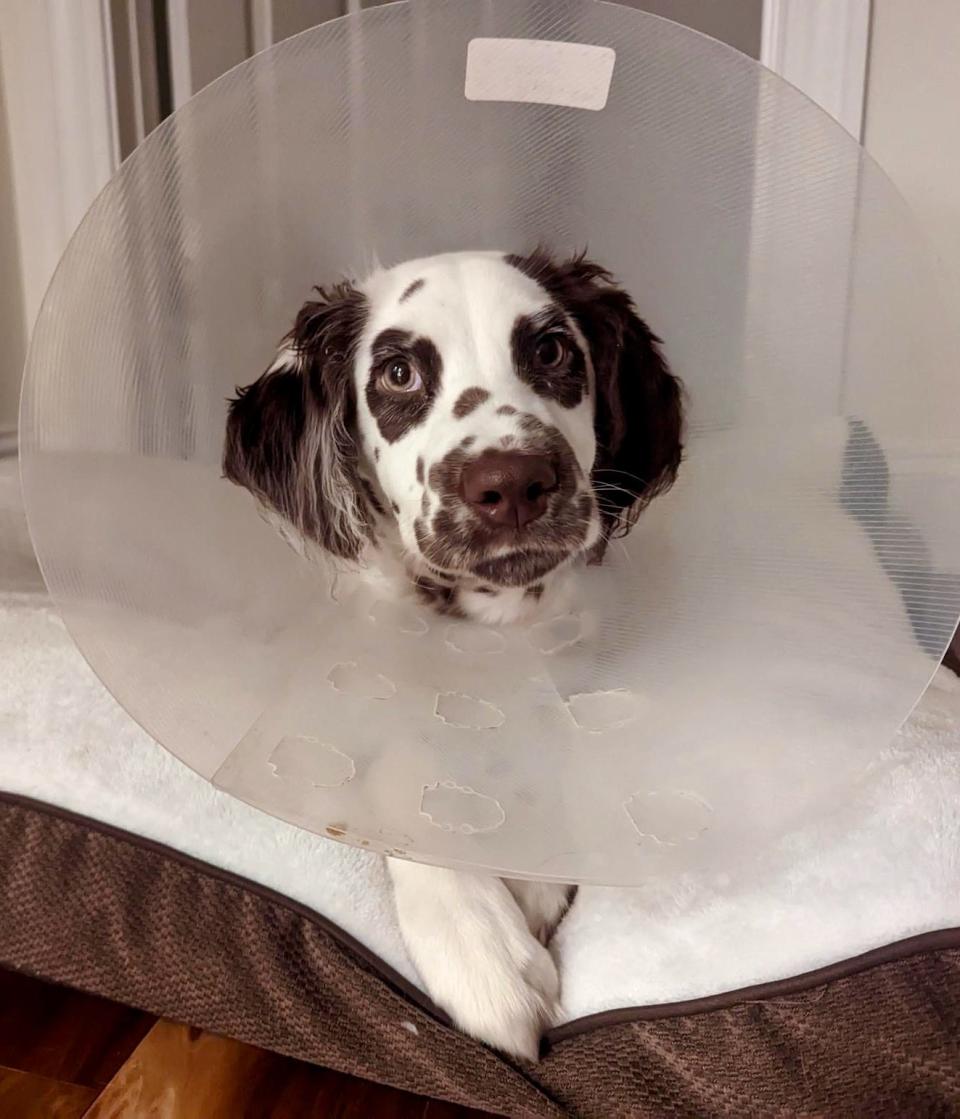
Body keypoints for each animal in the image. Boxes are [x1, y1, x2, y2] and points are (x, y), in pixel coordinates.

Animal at [222, 249, 680, 1060]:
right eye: (399, 373)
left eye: (551, 352)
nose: (513, 484)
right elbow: (407, 777)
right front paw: (482, 946)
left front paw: (535, 870)